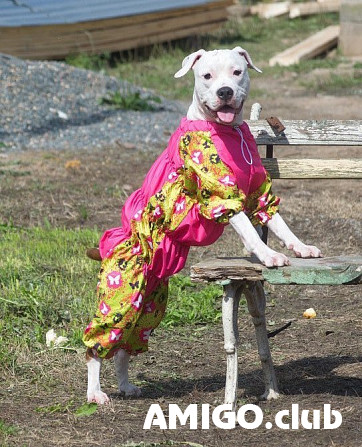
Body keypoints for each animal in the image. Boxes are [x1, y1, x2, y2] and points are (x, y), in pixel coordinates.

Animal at [86, 48, 320, 406]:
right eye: (206, 76)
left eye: (237, 72)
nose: (224, 91)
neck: (226, 131)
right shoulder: (222, 196)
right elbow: (250, 231)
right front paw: (268, 256)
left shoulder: (258, 193)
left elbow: (280, 223)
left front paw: (301, 248)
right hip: (120, 298)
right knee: (98, 344)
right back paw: (95, 392)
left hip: (150, 304)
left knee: (126, 346)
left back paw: (125, 386)